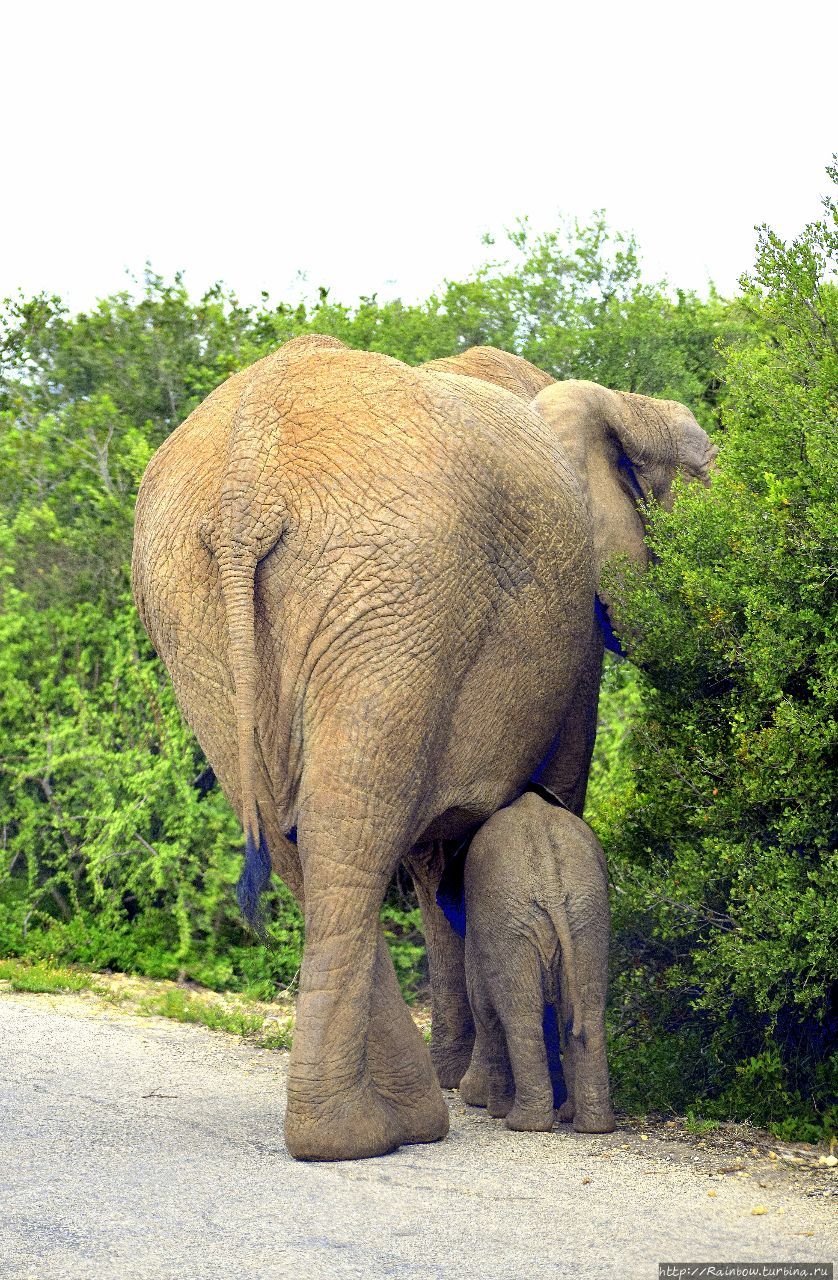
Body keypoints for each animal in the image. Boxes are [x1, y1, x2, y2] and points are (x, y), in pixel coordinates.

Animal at [458, 793, 616, 1136]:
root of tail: (551, 884)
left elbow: (483, 1006)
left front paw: (490, 1108)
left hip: (513, 919)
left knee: (519, 1014)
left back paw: (521, 1123)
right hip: (587, 913)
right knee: (586, 1010)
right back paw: (591, 1126)